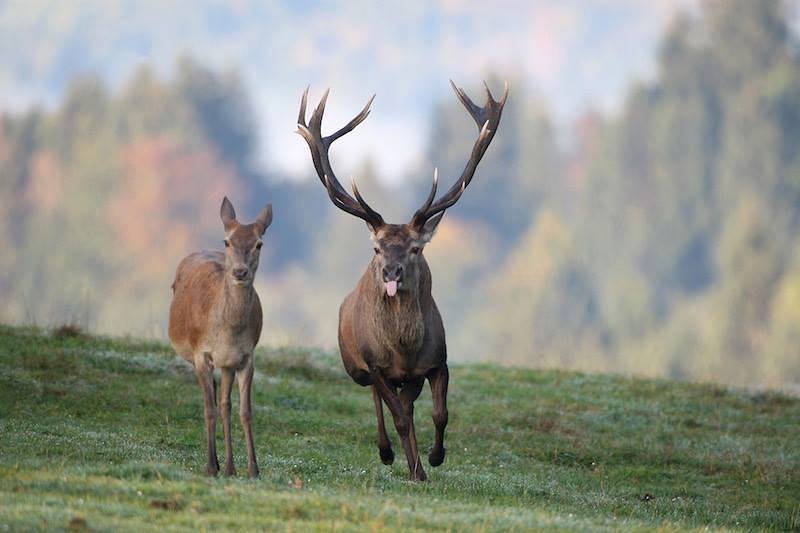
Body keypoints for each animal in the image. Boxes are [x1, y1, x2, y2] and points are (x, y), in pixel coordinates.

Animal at [168, 196, 272, 478]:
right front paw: (209, 466)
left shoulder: (246, 357)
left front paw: (253, 469)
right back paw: (218, 464)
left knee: (225, 404)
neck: (228, 332)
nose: (239, 272)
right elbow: (208, 409)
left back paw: (229, 466)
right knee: (215, 401)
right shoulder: (201, 352)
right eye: (227, 241)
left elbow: (244, 411)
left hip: (227, 365)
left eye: (259, 243)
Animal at [296, 81, 510, 480]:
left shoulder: (437, 362)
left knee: (406, 406)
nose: (390, 272)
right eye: (377, 248)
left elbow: (439, 413)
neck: (404, 350)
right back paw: (388, 453)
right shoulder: (376, 366)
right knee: (382, 403)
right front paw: (417, 469)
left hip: (406, 379)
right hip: (358, 369)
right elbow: (398, 418)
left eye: (414, 248)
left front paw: (435, 457)